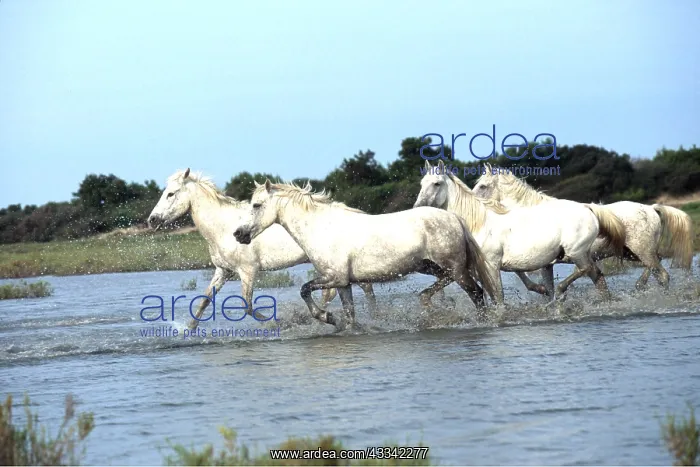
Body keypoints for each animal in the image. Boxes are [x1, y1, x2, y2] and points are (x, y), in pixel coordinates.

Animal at [147, 168, 378, 330]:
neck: (223, 228)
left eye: (171, 194)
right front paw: (188, 330)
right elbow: (204, 301)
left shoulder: (248, 271)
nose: (152, 220)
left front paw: (278, 323)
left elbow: (247, 306)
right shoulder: (223, 271)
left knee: (359, 288)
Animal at [233, 180, 499, 330]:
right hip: (429, 266)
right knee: (450, 284)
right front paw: (342, 324)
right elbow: (350, 313)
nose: (238, 234)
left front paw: (326, 316)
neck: (321, 229)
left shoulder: (334, 278)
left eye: (256, 205)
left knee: (476, 292)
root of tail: (454, 218)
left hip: (454, 267)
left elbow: (304, 289)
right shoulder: (343, 283)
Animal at [415, 160, 627, 303]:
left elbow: (499, 296)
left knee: (588, 270)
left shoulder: (491, 265)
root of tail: (588, 208)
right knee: (598, 277)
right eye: (421, 183)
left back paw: (561, 293)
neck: (478, 224)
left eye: (437, 183)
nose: (418, 207)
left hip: (577, 253)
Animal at [472, 164, 694, 290]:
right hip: (633, 253)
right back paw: (640, 287)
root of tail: (651, 208)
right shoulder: (545, 264)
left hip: (642, 251)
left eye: (483, 186)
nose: (472, 200)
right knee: (656, 267)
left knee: (662, 274)